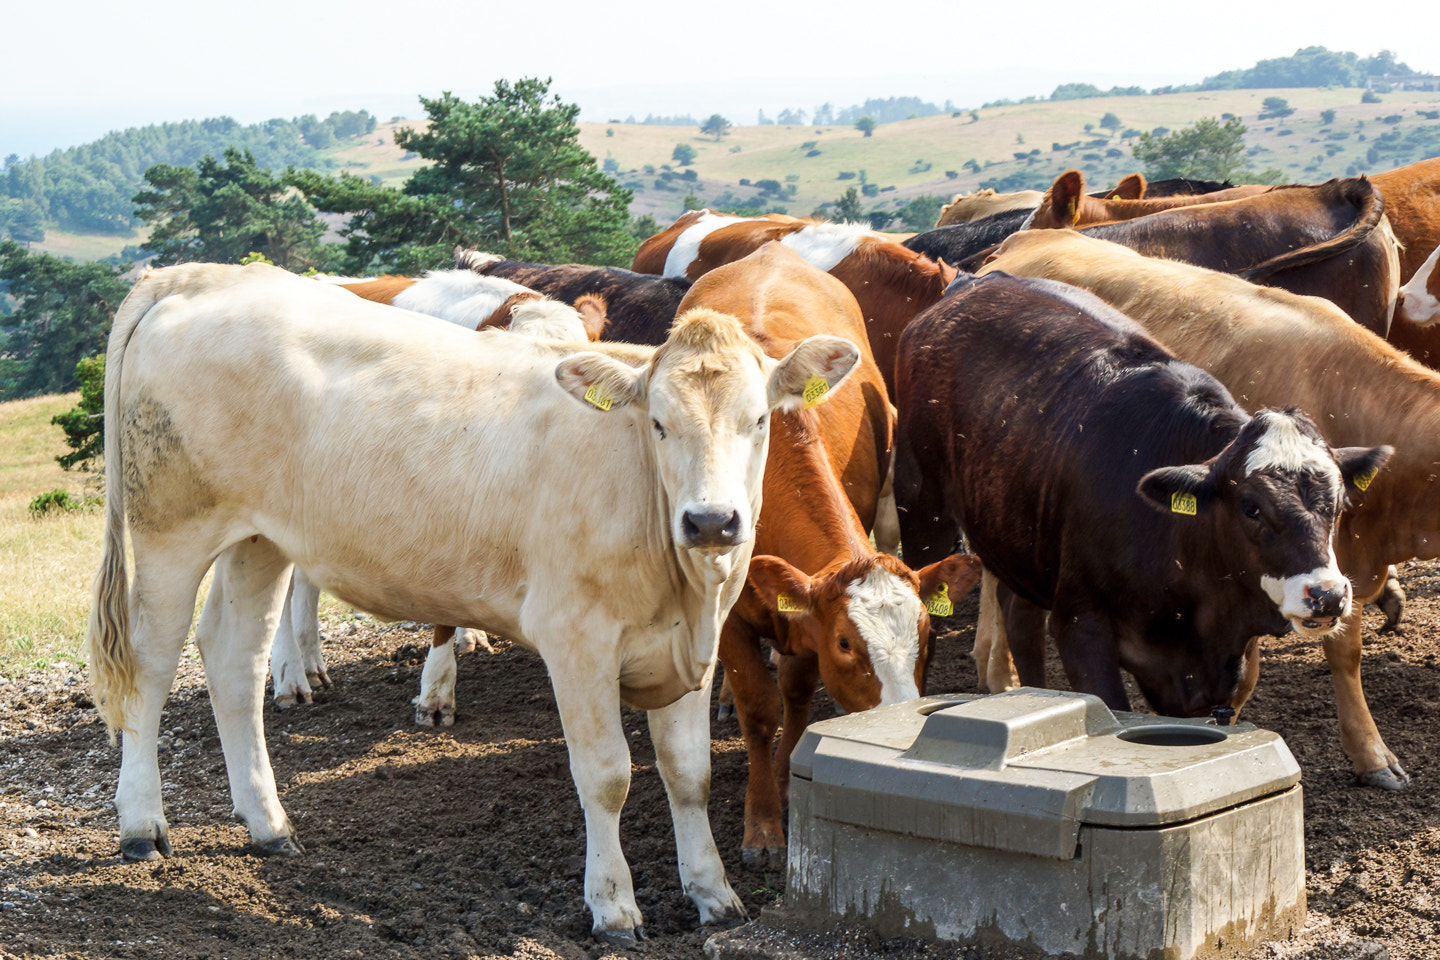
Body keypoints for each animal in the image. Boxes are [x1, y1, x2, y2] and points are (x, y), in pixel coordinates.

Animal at [86, 262, 862, 942]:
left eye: (758, 420)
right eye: (659, 423)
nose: (710, 522)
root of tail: (200, 275)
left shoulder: (691, 649)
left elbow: (689, 775)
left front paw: (714, 894)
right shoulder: (577, 641)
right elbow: (607, 777)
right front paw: (613, 907)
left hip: (258, 537)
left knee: (234, 659)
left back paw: (268, 824)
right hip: (169, 526)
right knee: (150, 666)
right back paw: (141, 826)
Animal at [674, 243, 980, 866]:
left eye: (928, 635)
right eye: (845, 643)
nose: (899, 723)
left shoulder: (801, 614)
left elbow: (794, 694)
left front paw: (790, 780)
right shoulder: (735, 619)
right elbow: (759, 708)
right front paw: (763, 826)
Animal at [896, 270, 1388, 720]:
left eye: (1339, 506)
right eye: (1251, 508)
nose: (1327, 595)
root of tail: (973, 281)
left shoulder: (1217, 674)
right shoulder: (1081, 629)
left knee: (1020, 617)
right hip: (923, 509)